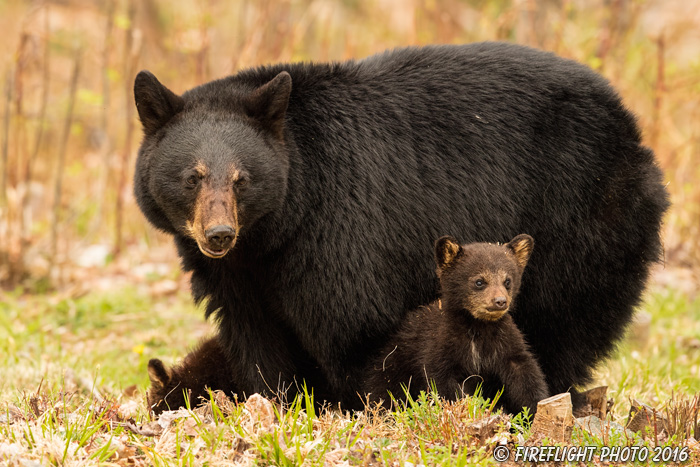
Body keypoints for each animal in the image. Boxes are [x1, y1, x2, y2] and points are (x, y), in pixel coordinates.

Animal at [364, 234, 548, 416]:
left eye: (507, 281)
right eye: (479, 281)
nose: (500, 301)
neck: (478, 327)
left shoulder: (506, 341)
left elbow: (525, 373)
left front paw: (536, 406)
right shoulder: (440, 343)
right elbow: (443, 381)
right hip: (392, 368)